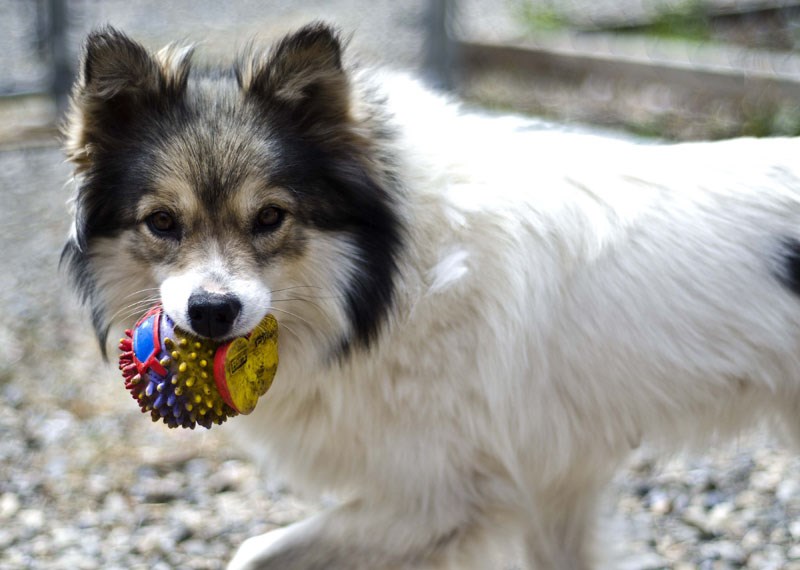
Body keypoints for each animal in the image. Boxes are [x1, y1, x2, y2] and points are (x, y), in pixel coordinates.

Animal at [64, 22, 800, 568]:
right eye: (163, 222)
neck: (393, 278)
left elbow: (253, 553)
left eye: (270, 217)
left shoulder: (442, 495)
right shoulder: (552, 483)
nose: (212, 313)